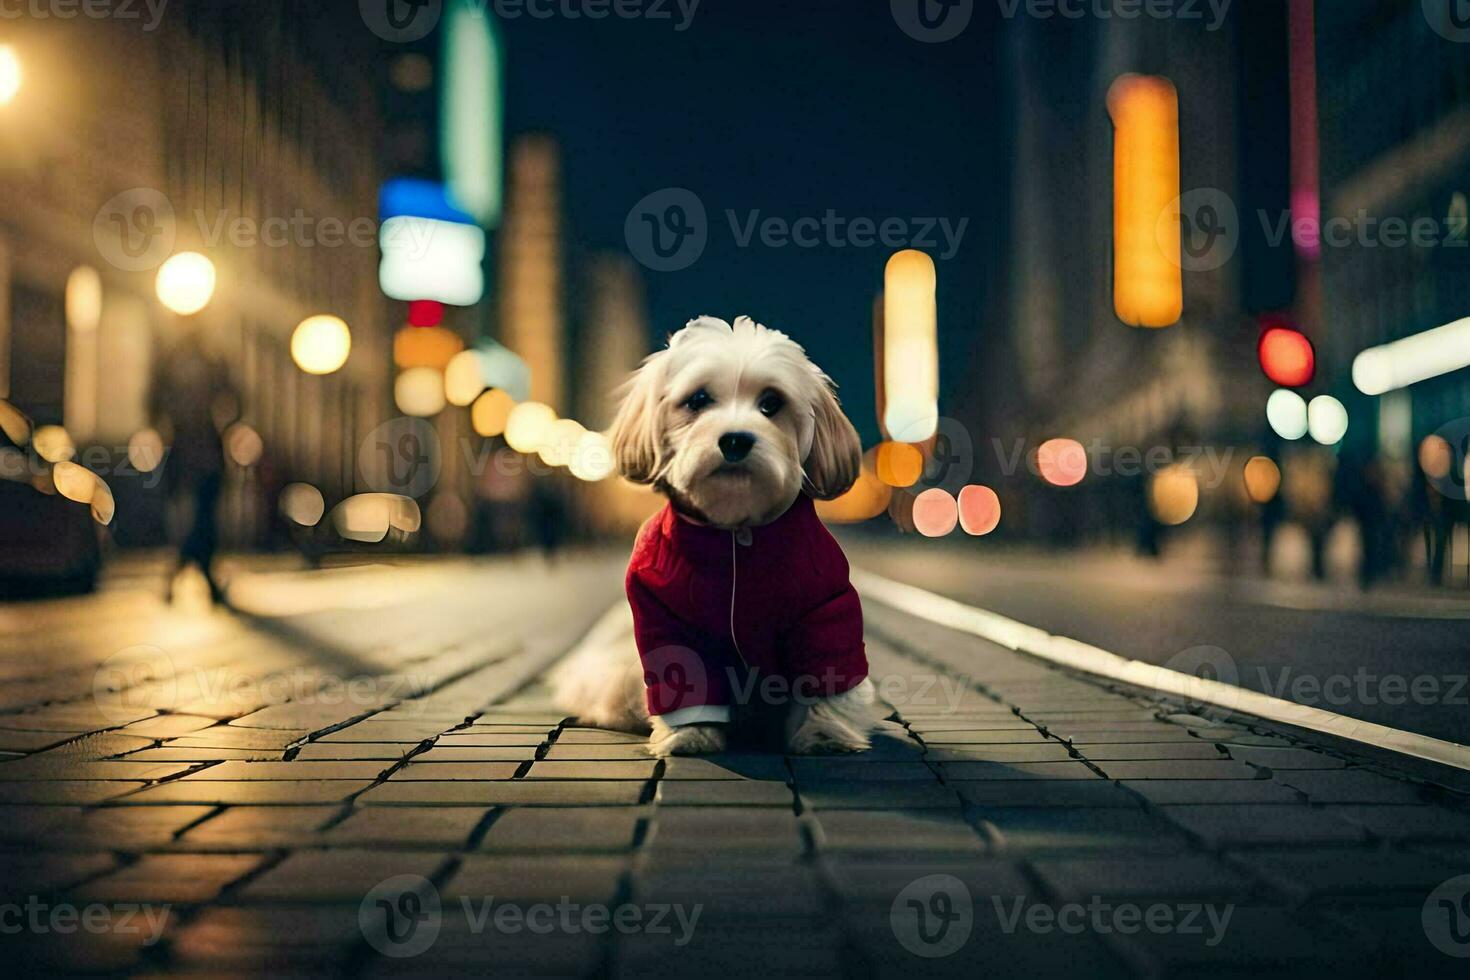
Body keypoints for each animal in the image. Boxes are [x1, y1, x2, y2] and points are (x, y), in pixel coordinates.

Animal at [549, 315, 870, 758]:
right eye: (698, 400)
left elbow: (827, 669)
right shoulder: (666, 620)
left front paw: (826, 733)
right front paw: (693, 732)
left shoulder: (824, 610)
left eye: (771, 403)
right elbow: (684, 671)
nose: (735, 439)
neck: (736, 534)